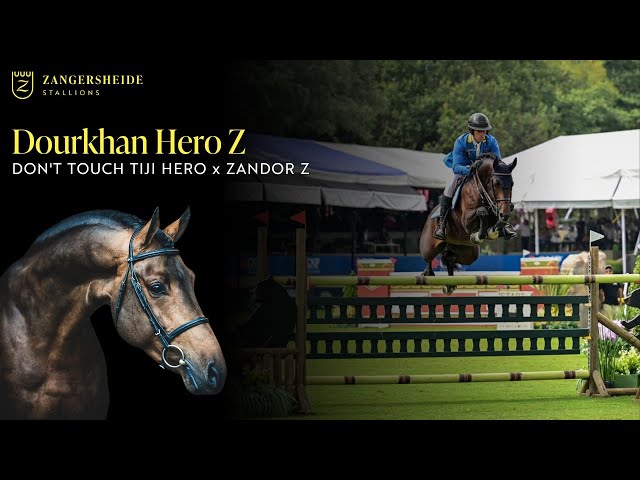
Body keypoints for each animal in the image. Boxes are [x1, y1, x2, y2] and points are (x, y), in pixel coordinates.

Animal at [419, 153, 518, 294]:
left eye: (512, 184)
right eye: (496, 183)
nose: (505, 214)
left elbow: (497, 219)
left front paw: (495, 230)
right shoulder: (466, 219)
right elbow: (482, 211)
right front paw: (480, 234)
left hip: (467, 253)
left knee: (449, 256)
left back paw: (449, 284)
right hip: (430, 245)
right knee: (428, 257)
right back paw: (427, 273)